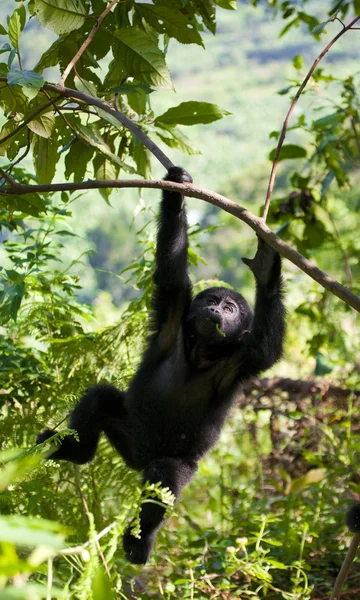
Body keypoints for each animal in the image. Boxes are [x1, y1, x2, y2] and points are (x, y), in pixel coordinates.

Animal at [35, 166, 284, 564]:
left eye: (229, 308)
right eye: (211, 300)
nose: (215, 310)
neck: (202, 354)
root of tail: (137, 459)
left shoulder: (241, 359)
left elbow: (266, 348)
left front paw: (267, 271)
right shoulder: (172, 318)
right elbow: (171, 278)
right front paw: (177, 191)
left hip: (175, 463)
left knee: (164, 476)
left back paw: (140, 539)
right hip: (128, 432)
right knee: (101, 399)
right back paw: (76, 451)